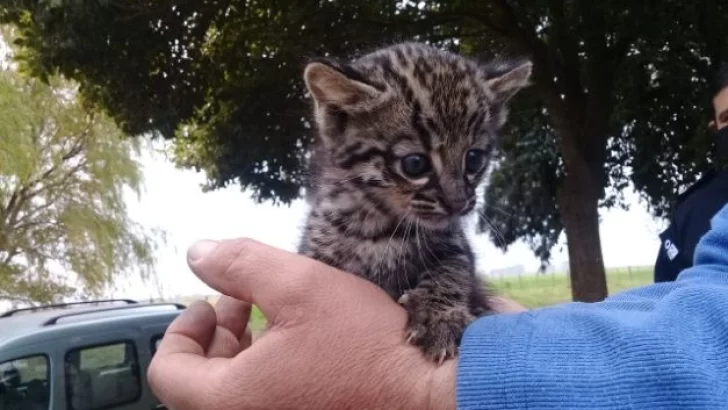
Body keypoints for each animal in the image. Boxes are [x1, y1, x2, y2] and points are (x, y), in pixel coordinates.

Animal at [296, 41, 528, 362]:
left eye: (474, 159)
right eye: (415, 164)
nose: (458, 204)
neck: (380, 223)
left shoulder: (454, 245)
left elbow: (452, 269)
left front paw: (440, 317)